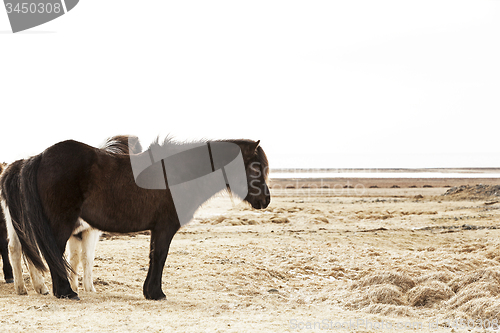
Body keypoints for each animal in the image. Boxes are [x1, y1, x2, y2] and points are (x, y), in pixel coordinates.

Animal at [0, 136, 270, 300]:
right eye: (255, 167)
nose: (265, 200)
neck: (177, 174)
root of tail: (38, 157)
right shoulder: (165, 227)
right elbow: (160, 257)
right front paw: (156, 292)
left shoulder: (157, 228)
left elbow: (153, 256)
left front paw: (150, 292)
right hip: (60, 224)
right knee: (52, 252)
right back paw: (66, 292)